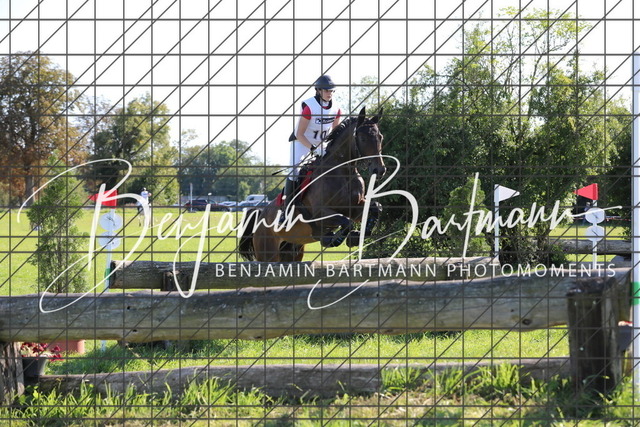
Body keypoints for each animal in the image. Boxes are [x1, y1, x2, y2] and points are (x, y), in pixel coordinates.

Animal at [239, 107, 386, 262]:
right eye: (363, 138)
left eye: (380, 137)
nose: (379, 170)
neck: (344, 173)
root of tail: (261, 214)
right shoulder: (320, 212)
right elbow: (346, 221)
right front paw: (334, 239)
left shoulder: (354, 207)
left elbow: (376, 207)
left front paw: (356, 237)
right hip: (267, 253)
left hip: (292, 251)